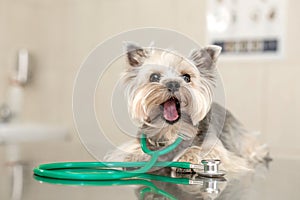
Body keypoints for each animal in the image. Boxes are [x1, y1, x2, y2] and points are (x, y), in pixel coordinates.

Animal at [104, 42, 268, 173]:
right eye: (154, 77)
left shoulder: (217, 149)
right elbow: (130, 150)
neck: (171, 130)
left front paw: (187, 157)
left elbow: (209, 152)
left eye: (186, 77)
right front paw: (137, 155)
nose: (173, 83)